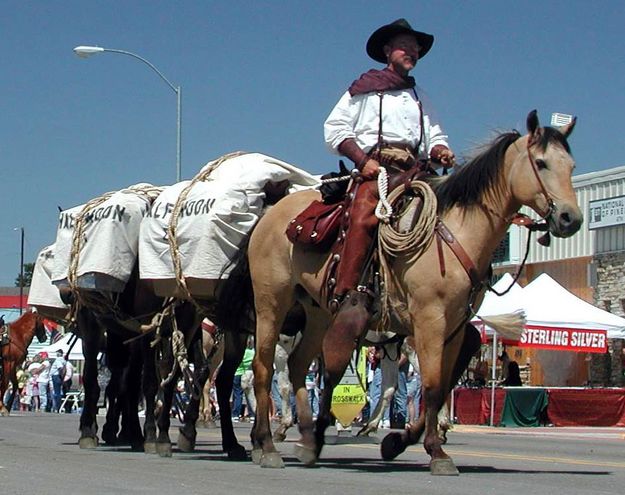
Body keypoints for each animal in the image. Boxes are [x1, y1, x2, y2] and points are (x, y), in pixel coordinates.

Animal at [243, 110, 580, 474]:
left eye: (571, 165)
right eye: (541, 163)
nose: (570, 218)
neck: (453, 233)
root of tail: (270, 214)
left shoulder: (453, 328)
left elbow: (439, 385)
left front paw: (403, 441)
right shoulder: (429, 321)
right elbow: (431, 386)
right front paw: (435, 451)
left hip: (318, 313)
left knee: (298, 367)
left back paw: (309, 441)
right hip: (271, 303)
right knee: (263, 369)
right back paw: (267, 445)